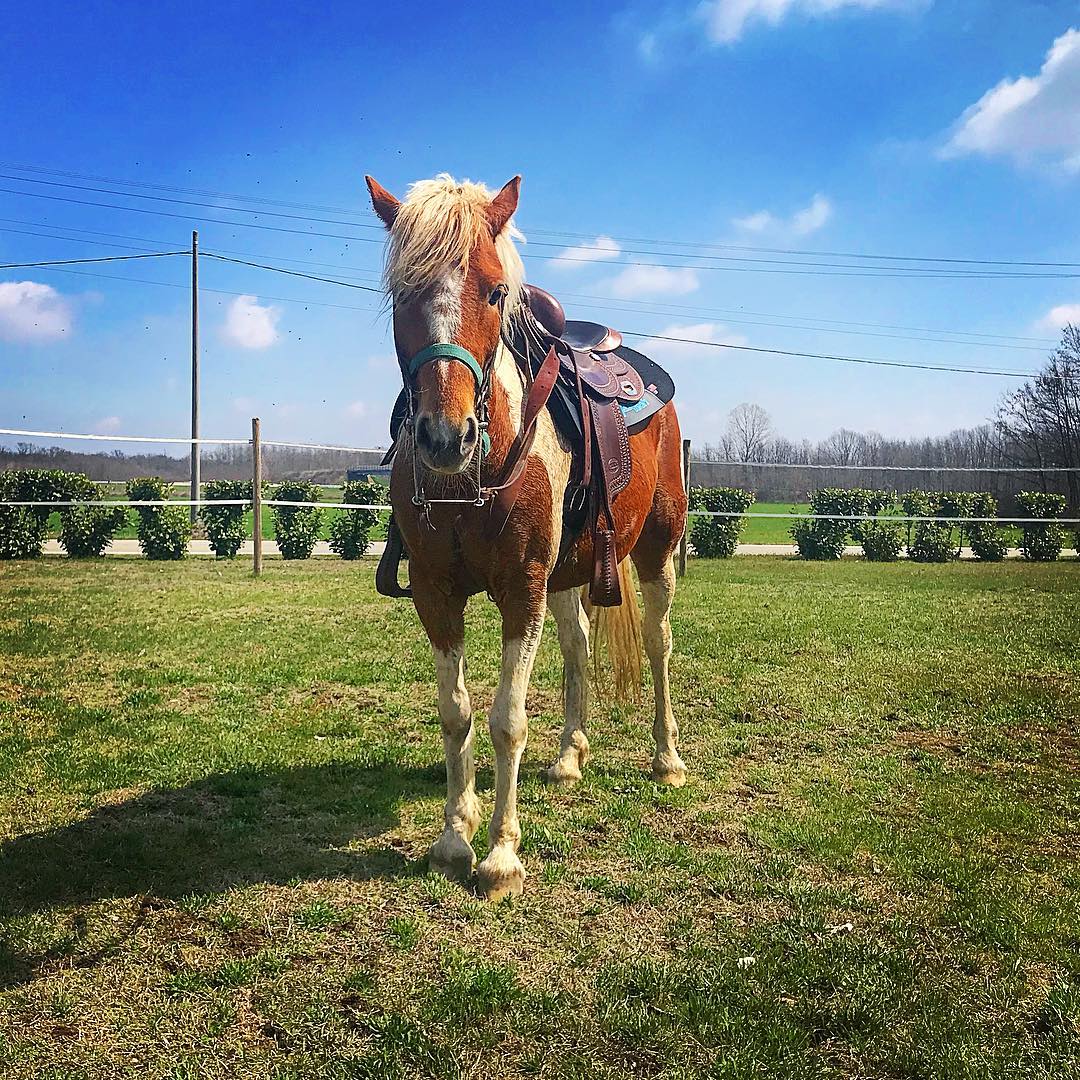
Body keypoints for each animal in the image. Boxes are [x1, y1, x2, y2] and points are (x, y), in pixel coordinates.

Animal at [362, 174, 682, 902]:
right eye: (402, 294)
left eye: (493, 291)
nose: (444, 437)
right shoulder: (437, 593)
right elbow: (456, 713)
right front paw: (454, 840)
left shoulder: (521, 589)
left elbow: (506, 718)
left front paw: (501, 856)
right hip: (569, 575)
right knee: (577, 648)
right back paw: (569, 756)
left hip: (656, 550)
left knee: (658, 645)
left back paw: (667, 757)